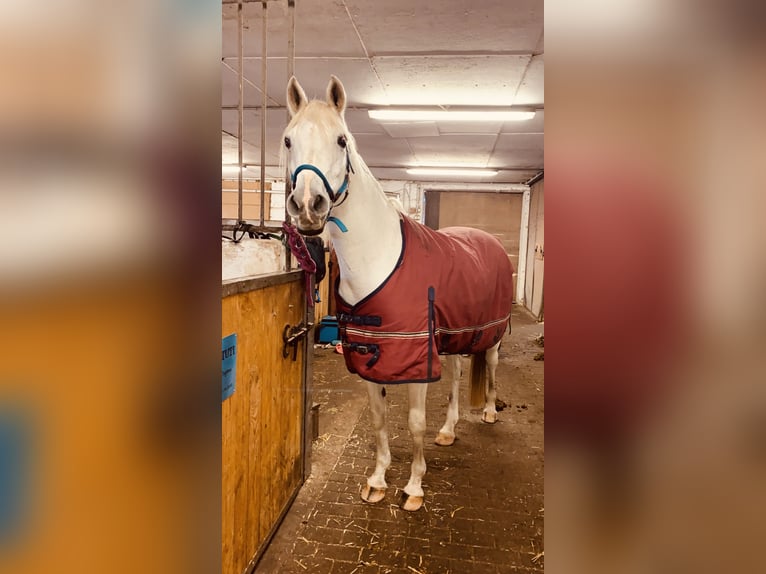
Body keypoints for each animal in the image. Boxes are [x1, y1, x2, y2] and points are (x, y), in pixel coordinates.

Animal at [282, 75, 514, 512]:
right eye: (288, 140)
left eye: (342, 140)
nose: (307, 206)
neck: (380, 258)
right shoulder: (371, 358)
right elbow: (378, 421)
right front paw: (376, 481)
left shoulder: (416, 359)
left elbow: (415, 423)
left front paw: (414, 488)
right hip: (453, 338)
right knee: (456, 378)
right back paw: (449, 430)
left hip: (491, 335)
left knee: (490, 366)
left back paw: (491, 412)